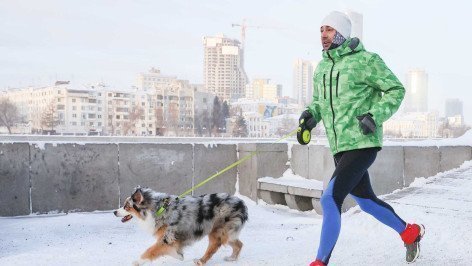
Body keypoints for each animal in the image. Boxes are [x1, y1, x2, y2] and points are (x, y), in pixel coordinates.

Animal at [114, 187, 249, 266]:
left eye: (126, 206)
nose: (114, 212)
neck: (157, 209)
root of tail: (241, 202)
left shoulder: (167, 237)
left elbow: (151, 250)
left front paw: (137, 261)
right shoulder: (170, 239)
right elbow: (172, 250)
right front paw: (179, 255)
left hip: (218, 230)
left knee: (214, 246)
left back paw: (201, 261)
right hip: (228, 232)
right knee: (239, 244)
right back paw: (232, 258)